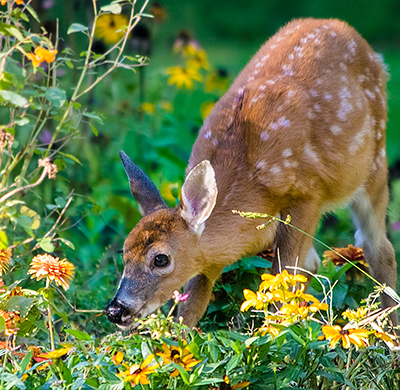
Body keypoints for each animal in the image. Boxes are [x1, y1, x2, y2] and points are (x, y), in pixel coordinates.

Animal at [105, 18, 396, 330]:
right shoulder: (211, 256)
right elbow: (193, 303)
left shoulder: (307, 194)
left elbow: (283, 276)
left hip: (375, 165)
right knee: (317, 262)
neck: (252, 186)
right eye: (124, 252)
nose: (116, 310)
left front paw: (277, 332)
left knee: (379, 249)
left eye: (161, 259)